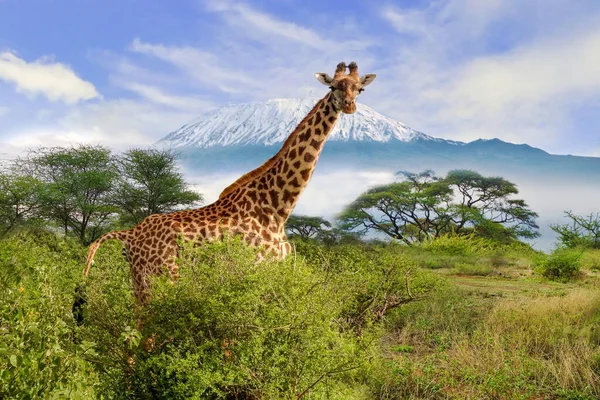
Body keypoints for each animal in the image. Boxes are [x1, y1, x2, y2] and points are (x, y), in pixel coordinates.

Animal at [83, 61, 376, 304]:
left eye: (360, 89)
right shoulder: (258, 267)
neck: (277, 206)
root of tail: (129, 234)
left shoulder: (276, 268)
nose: (349, 105)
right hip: (163, 276)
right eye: (333, 86)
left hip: (139, 280)